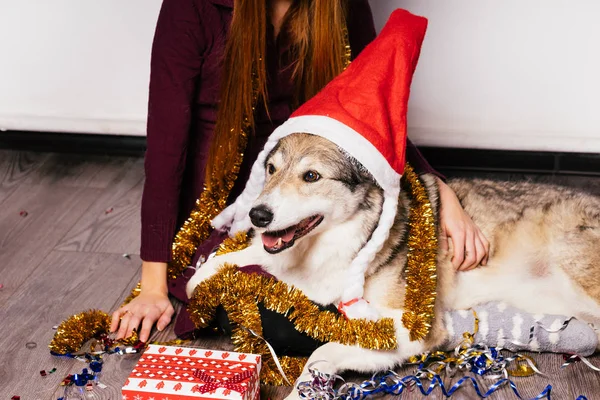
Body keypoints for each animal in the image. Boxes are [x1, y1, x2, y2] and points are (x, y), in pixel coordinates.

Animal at [186, 133, 600, 396]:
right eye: (270, 169)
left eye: (311, 176)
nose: (257, 215)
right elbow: (235, 256)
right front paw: (199, 279)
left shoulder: (412, 329)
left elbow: (324, 350)